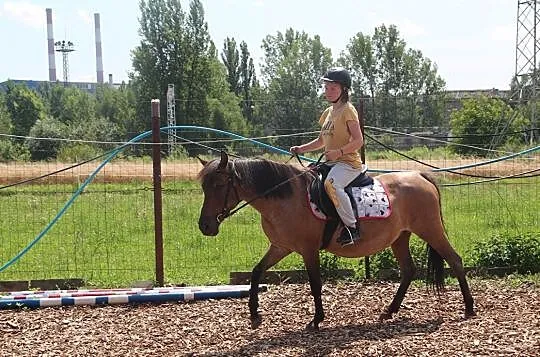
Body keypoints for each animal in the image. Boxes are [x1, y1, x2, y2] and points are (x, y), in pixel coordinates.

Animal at [196, 150, 474, 328]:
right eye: (203, 187)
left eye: (219, 185)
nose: (205, 226)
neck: (286, 197)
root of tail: (419, 176)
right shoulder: (281, 247)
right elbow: (256, 272)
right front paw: (254, 314)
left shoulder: (308, 250)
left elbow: (315, 283)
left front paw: (317, 319)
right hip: (400, 237)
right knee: (408, 270)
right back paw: (389, 310)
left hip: (431, 230)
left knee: (455, 260)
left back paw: (469, 308)